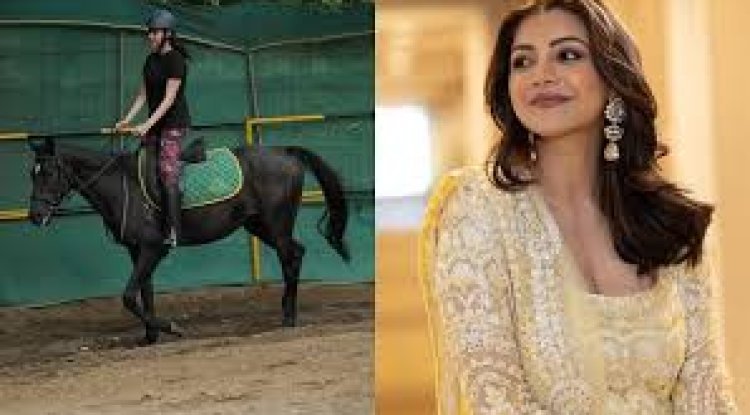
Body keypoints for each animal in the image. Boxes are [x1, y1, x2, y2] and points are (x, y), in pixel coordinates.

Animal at [27, 136, 350, 345]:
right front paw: (150, 337)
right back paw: (286, 311)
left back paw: (289, 318)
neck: (122, 184)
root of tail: (287, 152)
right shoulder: (138, 251)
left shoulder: (153, 249)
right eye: (32, 174)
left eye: (50, 172)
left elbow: (129, 296)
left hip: (276, 224)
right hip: (260, 225)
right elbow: (145, 292)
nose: (35, 215)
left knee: (291, 258)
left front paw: (171, 328)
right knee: (296, 253)